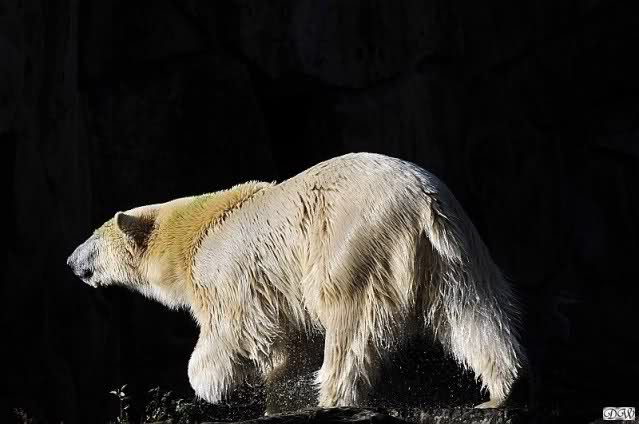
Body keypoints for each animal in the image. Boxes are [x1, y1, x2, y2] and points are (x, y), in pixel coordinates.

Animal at [67, 152, 525, 410]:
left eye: (93, 237)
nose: (71, 260)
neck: (195, 230)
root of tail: (421, 202)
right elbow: (285, 341)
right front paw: (275, 382)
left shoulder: (228, 274)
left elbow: (233, 328)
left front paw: (213, 383)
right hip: (456, 251)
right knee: (475, 313)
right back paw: (501, 390)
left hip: (352, 237)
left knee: (350, 320)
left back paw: (332, 396)